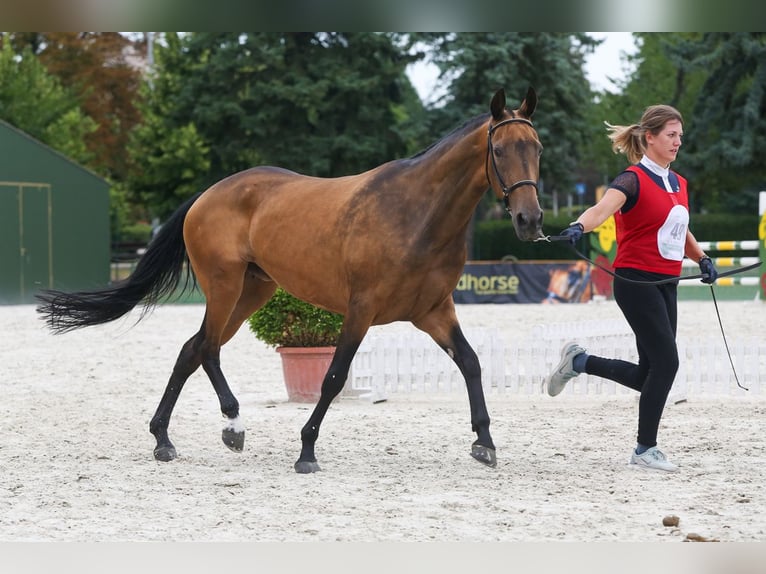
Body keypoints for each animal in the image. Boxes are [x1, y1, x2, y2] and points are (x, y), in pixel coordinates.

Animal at [37, 88, 544, 474]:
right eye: (499, 150)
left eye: (537, 149)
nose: (530, 220)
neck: (416, 214)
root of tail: (207, 194)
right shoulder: (361, 310)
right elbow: (333, 377)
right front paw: (306, 450)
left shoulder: (434, 311)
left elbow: (471, 363)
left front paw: (484, 443)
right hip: (224, 287)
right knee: (206, 348)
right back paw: (231, 425)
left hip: (253, 291)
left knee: (193, 350)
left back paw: (165, 438)